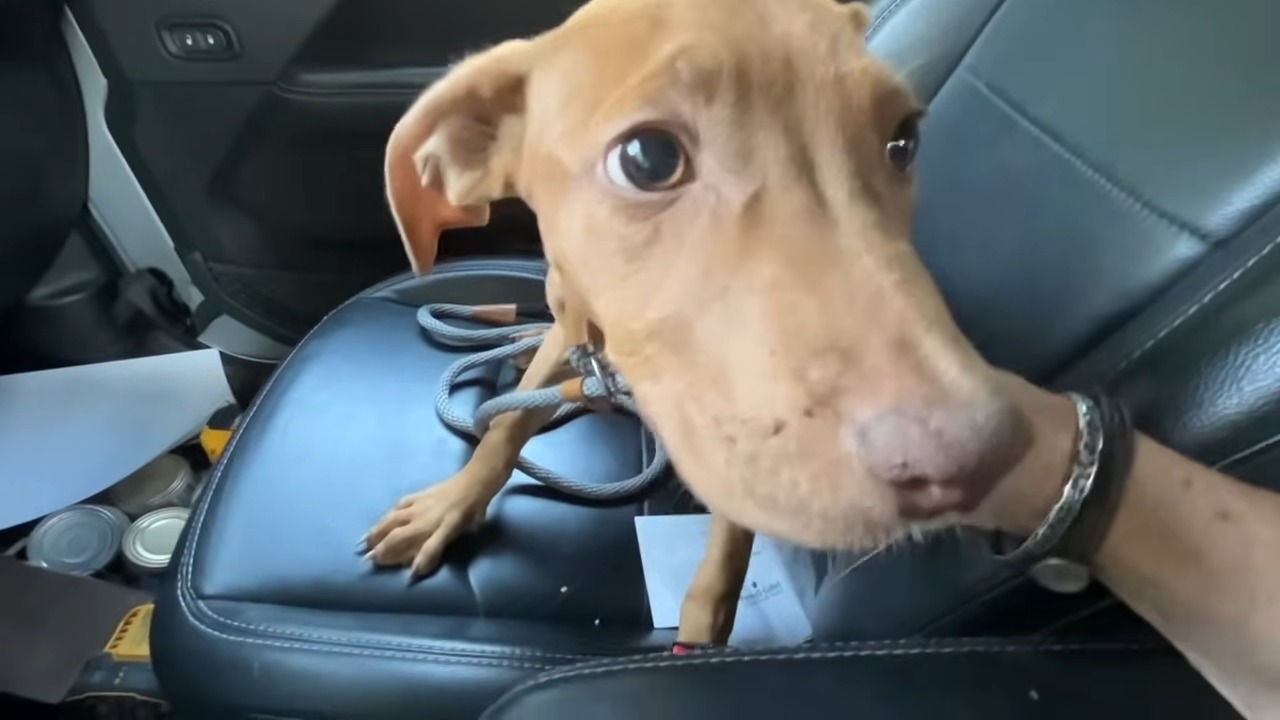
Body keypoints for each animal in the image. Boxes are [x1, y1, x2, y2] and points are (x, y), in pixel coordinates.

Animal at [360, 0, 1029, 645]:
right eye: (648, 158)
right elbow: (505, 426)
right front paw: (453, 503)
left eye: (903, 140)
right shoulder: (576, 325)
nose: (977, 458)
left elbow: (723, 568)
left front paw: (701, 635)